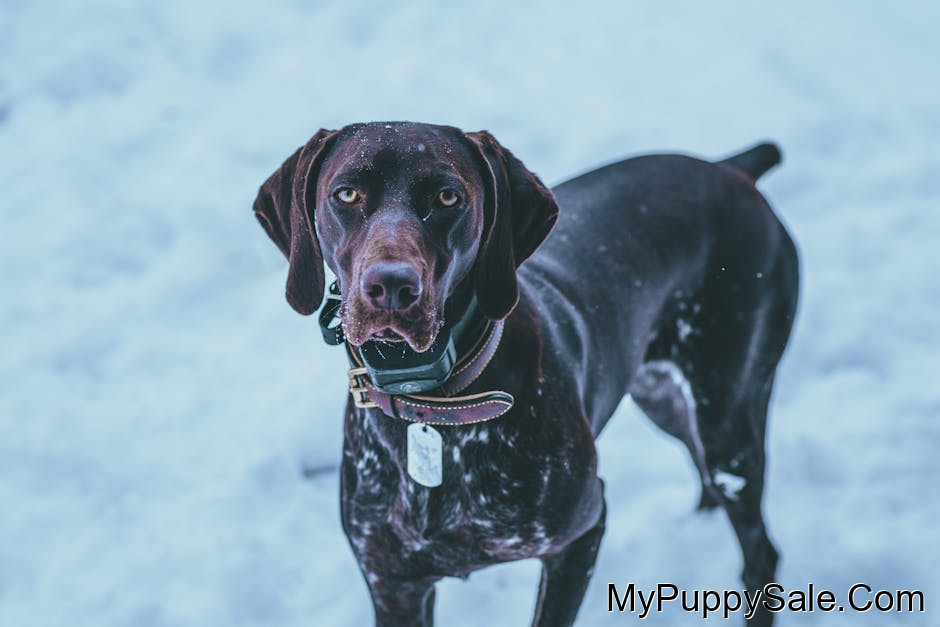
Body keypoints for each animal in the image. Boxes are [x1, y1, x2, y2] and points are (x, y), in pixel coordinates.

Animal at [252, 122, 799, 626]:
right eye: (346, 194)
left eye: (448, 196)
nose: (390, 286)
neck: (435, 403)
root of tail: (729, 169)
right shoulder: (393, 584)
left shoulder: (580, 535)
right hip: (660, 395)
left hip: (727, 418)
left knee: (760, 550)